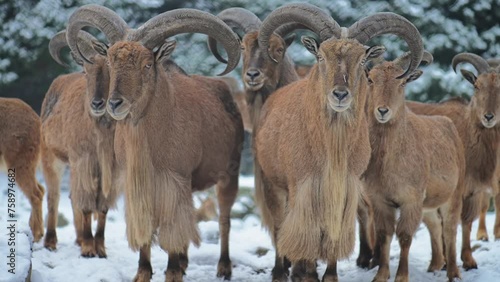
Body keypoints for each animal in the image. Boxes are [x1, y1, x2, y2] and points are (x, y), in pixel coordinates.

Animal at [364, 53, 464, 282]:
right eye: (371, 79)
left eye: (401, 83)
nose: (382, 111)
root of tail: (449, 125)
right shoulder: (380, 201)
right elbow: (384, 235)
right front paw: (381, 275)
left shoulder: (411, 200)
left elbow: (405, 236)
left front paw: (401, 276)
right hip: (429, 205)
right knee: (435, 224)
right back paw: (436, 265)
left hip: (454, 195)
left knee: (450, 229)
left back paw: (453, 273)